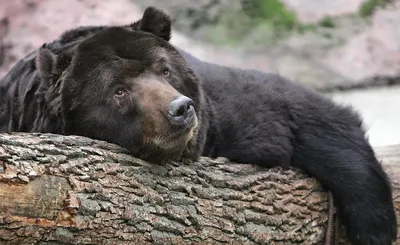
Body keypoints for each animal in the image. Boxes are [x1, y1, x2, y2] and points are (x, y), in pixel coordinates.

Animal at [0, 6, 396, 244]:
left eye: (164, 69)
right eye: (118, 90)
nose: (179, 109)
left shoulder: (224, 114)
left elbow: (304, 117)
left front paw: (376, 228)